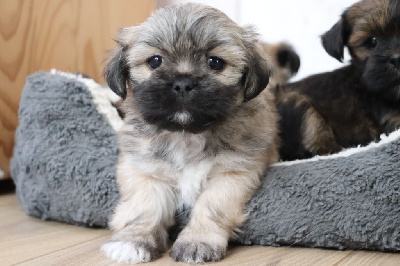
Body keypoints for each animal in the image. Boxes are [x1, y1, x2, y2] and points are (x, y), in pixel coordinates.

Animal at [101, 3, 280, 264]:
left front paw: (197, 241)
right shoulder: (146, 172)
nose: (183, 83)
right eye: (155, 61)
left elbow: (211, 206)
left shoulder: (231, 173)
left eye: (215, 62)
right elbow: (144, 207)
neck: (186, 134)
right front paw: (132, 241)